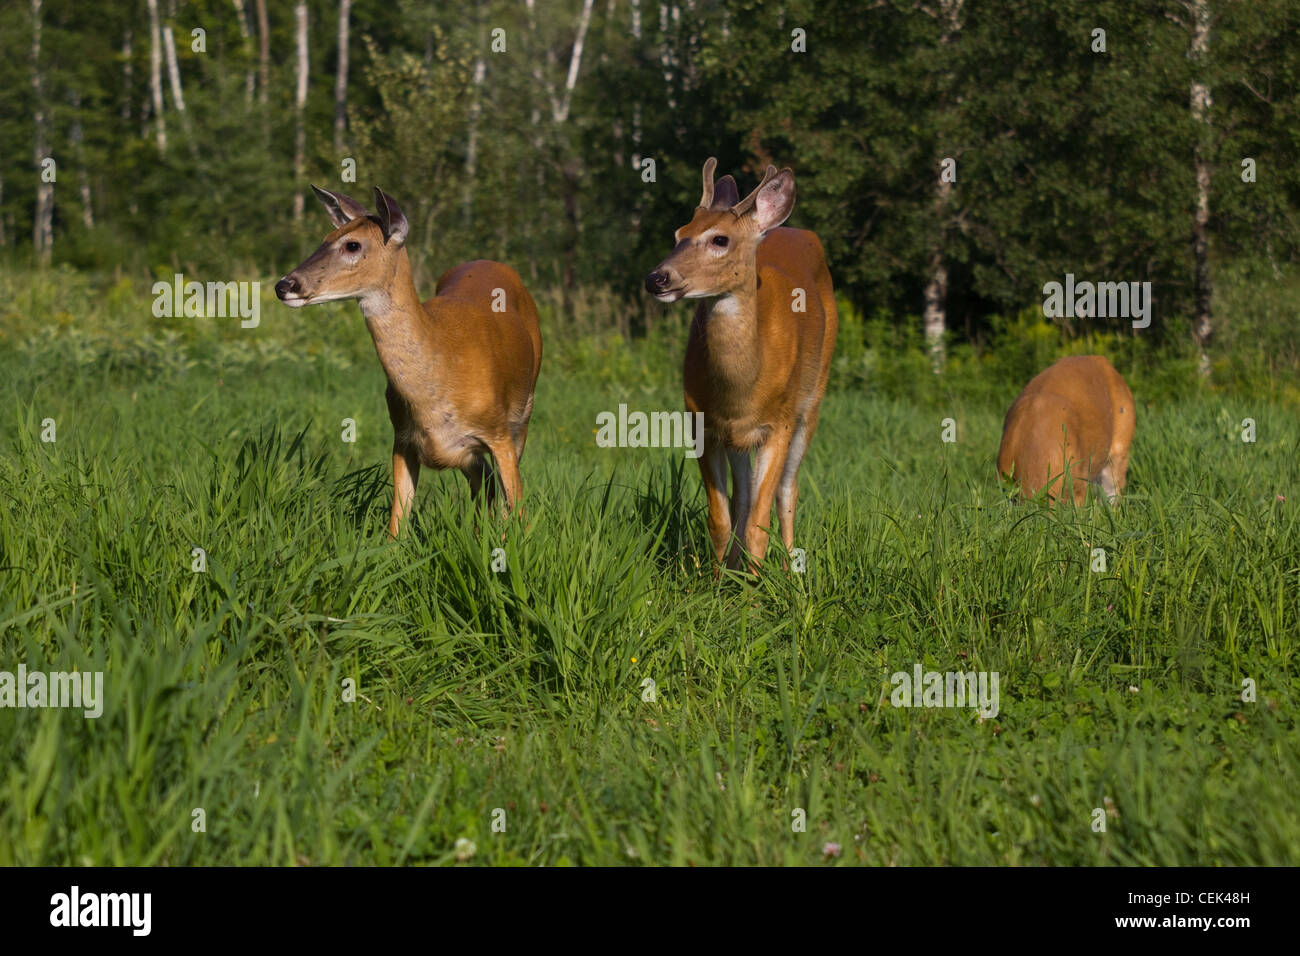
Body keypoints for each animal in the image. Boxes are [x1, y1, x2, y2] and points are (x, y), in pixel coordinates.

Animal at [271, 183, 540, 535]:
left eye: (352, 244)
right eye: (325, 239)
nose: (284, 285)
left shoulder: (498, 433)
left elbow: (519, 515)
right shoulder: (402, 438)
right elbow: (396, 524)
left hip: (524, 412)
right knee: (484, 483)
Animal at [644, 159, 837, 572]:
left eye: (720, 240)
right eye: (679, 233)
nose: (656, 278)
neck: (742, 389)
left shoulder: (778, 423)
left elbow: (759, 525)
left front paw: (757, 587)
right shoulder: (703, 423)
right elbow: (722, 518)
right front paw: (719, 581)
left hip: (812, 401)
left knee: (787, 491)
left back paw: (791, 569)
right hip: (739, 439)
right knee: (743, 497)